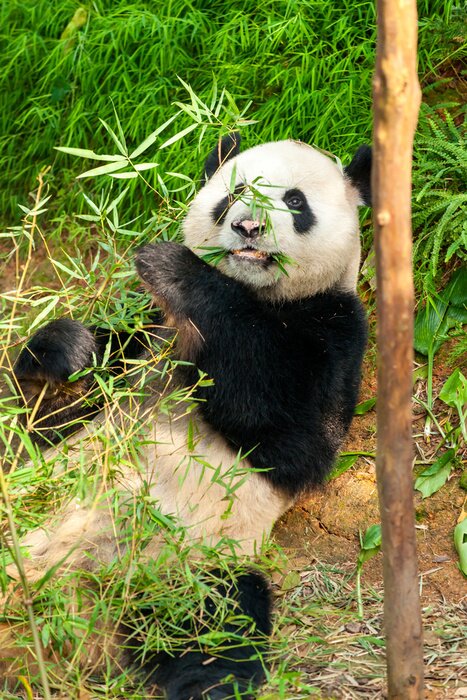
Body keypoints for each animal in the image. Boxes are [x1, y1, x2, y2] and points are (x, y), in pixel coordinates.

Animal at [2, 133, 371, 699]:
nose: (248, 227)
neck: (257, 293)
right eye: (234, 191)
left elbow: (292, 435)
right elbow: (52, 420)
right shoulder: (145, 325)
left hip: (182, 570)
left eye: (295, 201)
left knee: (213, 625)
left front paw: (177, 270)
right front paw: (65, 357)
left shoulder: (336, 329)